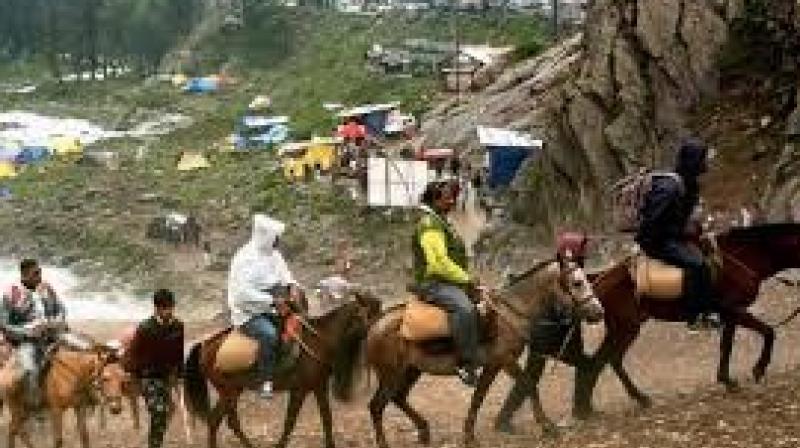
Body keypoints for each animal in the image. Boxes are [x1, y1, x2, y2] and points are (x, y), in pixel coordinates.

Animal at [184, 292, 382, 448]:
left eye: (379, 312)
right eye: (370, 314)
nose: (380, 333)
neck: (318, 341)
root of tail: (205, 344)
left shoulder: (319, 386)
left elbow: (327, 418)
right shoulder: (299, 390)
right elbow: (290, 422)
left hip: (233, 390)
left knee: (227, 421)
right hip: (227, 391)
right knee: (215, 420)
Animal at [366, 256, 604, 448]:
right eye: (577, 283)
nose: (598, 312)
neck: (510, 312)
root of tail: (376, 324)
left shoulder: (493, 365)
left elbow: (478, 397)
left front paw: (469, 435)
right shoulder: (505, 360)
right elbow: (528, 384)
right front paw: (547, 426)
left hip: (410, 371)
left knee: (398, 398)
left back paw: (424, 431)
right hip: (390, 375)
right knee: (376, 405)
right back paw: (385, 442)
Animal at [496, 222, 800, 428]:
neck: (743, 256)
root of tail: (599, 278)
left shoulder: (730, 314)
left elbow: (727, 346)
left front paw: (727, 379)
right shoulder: (735, 310)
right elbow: (769, 332)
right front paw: (758, 369)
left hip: (624, 328)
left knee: (606, 361)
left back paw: (605, 404)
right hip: (626, 328)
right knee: (602, 361)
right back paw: (598, 406)